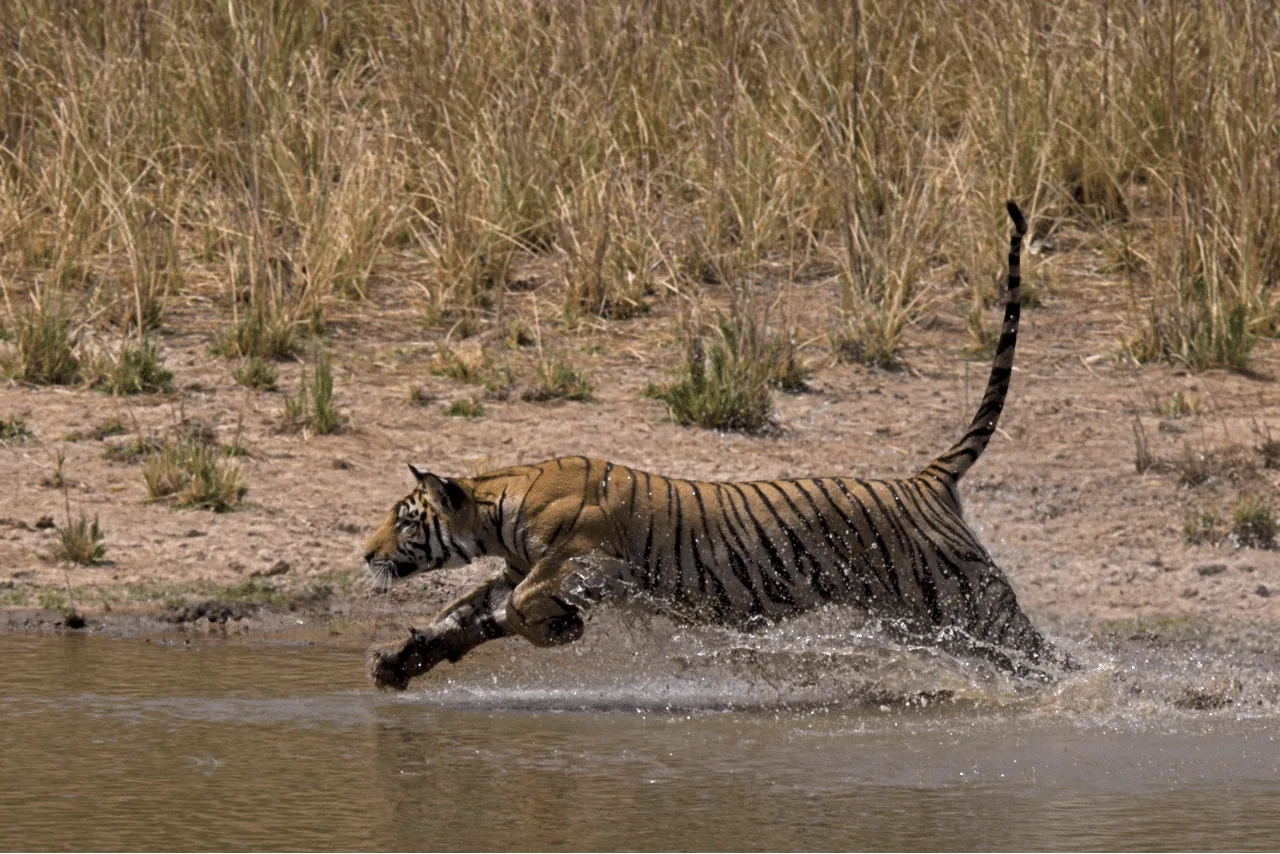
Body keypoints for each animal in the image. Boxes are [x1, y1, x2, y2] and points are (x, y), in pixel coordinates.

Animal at [364, 201, 1068, 691]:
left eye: (405, 520)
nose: (365, 554)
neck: (497, 511)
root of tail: (926, 478)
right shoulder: (515, 568)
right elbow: (464, 613)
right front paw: (400, 662)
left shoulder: (587, 560)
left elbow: (518, 605)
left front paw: (555, 629)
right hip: (939, 621)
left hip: (967, 601)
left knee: (1046, 654)